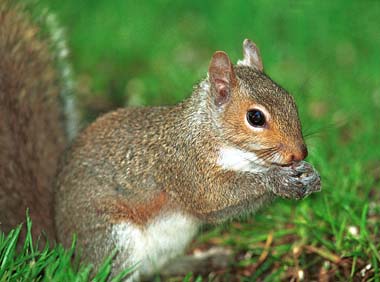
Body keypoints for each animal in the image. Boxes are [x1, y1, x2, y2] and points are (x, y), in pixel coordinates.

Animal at [0, 1, 320, 280]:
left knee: (157, 269)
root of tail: (62, 250)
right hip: (112, 240)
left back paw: (204, 260)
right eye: (255, 117)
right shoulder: (184, 166)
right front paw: (276, 179)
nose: (299, 153)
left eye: (291, 100)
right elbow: (214, 198)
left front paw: (309, 175)